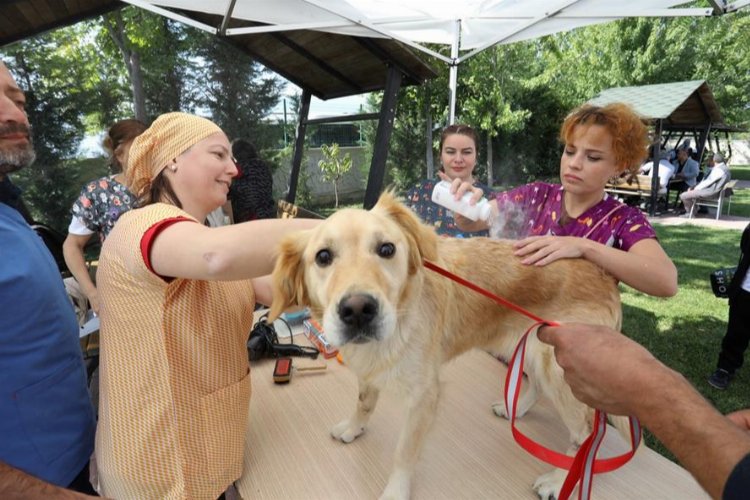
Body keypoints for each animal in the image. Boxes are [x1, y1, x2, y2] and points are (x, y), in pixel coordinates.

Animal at [270, 192, 628, 500]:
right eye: (323, 257)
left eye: (387, 249)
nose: (358, 310)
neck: (402, 317)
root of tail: (604, 275)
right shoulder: (369, 372)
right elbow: (364, 403)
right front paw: (353, 427)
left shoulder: (424, 396)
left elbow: (404, 453)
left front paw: (395, 491)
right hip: (525, 346)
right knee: (538, 388)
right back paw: (515, 409)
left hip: (557, 367)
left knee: (586, 434)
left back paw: (559, 480)